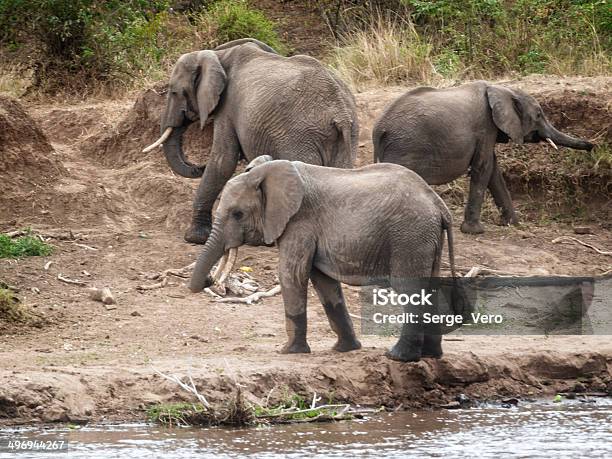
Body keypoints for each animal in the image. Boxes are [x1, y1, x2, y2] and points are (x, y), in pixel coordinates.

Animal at [143, 38, 358, 246]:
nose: (198, 165)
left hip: (301, 136)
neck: (218, 54)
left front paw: (194, 238)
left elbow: (223, 160)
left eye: (174, 92)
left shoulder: (228, 105)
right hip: (347, 134)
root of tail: (340, 112)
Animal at [370, 79, 596, 235]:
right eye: (539, 115)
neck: (503, 89)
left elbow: (494, 171)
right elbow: (483, 168)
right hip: (404, 148)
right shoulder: (485, 127)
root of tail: (379, 129)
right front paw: (475, 231)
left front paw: (513, 224)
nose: (593, 146)